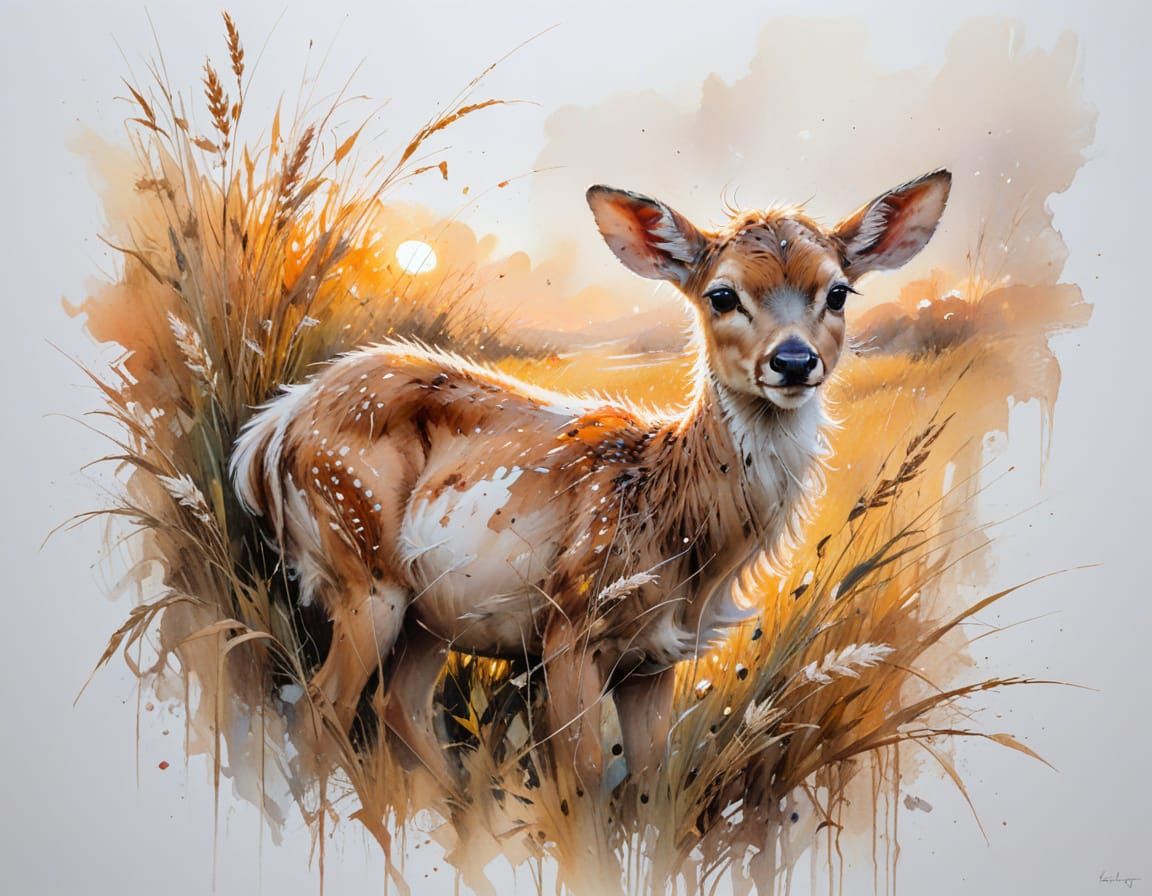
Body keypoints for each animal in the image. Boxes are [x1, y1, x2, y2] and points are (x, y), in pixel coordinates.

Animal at [229, 169, 951, 790]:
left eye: (838, 292)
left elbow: (652, 785)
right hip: (360, 556)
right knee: (321, 707)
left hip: (431, 610)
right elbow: (580, 783)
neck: (678, 520)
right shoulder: (569, 621)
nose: (794, 360)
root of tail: (272, 427)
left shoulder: (656, 658)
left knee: (397, 708)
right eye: (722, 294)